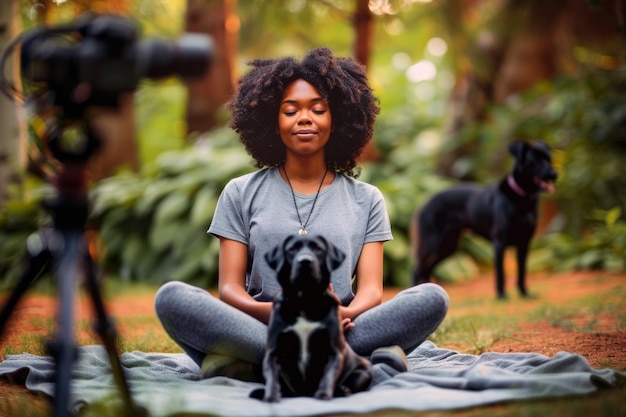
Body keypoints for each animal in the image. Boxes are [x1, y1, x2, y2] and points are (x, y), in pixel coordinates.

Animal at [258, 234, 370, 400]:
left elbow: (328, 375)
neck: (304, 300)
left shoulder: (333, 351)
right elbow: (272, 374)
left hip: (363, 371)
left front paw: (323, 395)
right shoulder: (274, 351)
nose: (305, 261)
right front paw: (271, 396)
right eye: (292, 249)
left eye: (318, 248)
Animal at [412, 141, 552, 298]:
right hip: (430, 244)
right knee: (416, 270)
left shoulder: (524, 243)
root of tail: (424, 204)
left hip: (447, 246)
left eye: (548, 159)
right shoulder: (499, 243)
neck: (523, 199)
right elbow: (501, 273)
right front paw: (501, 296)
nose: (554, 174)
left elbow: (522, 271)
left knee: (426, 270)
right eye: (534, 160)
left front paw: (524, 294)